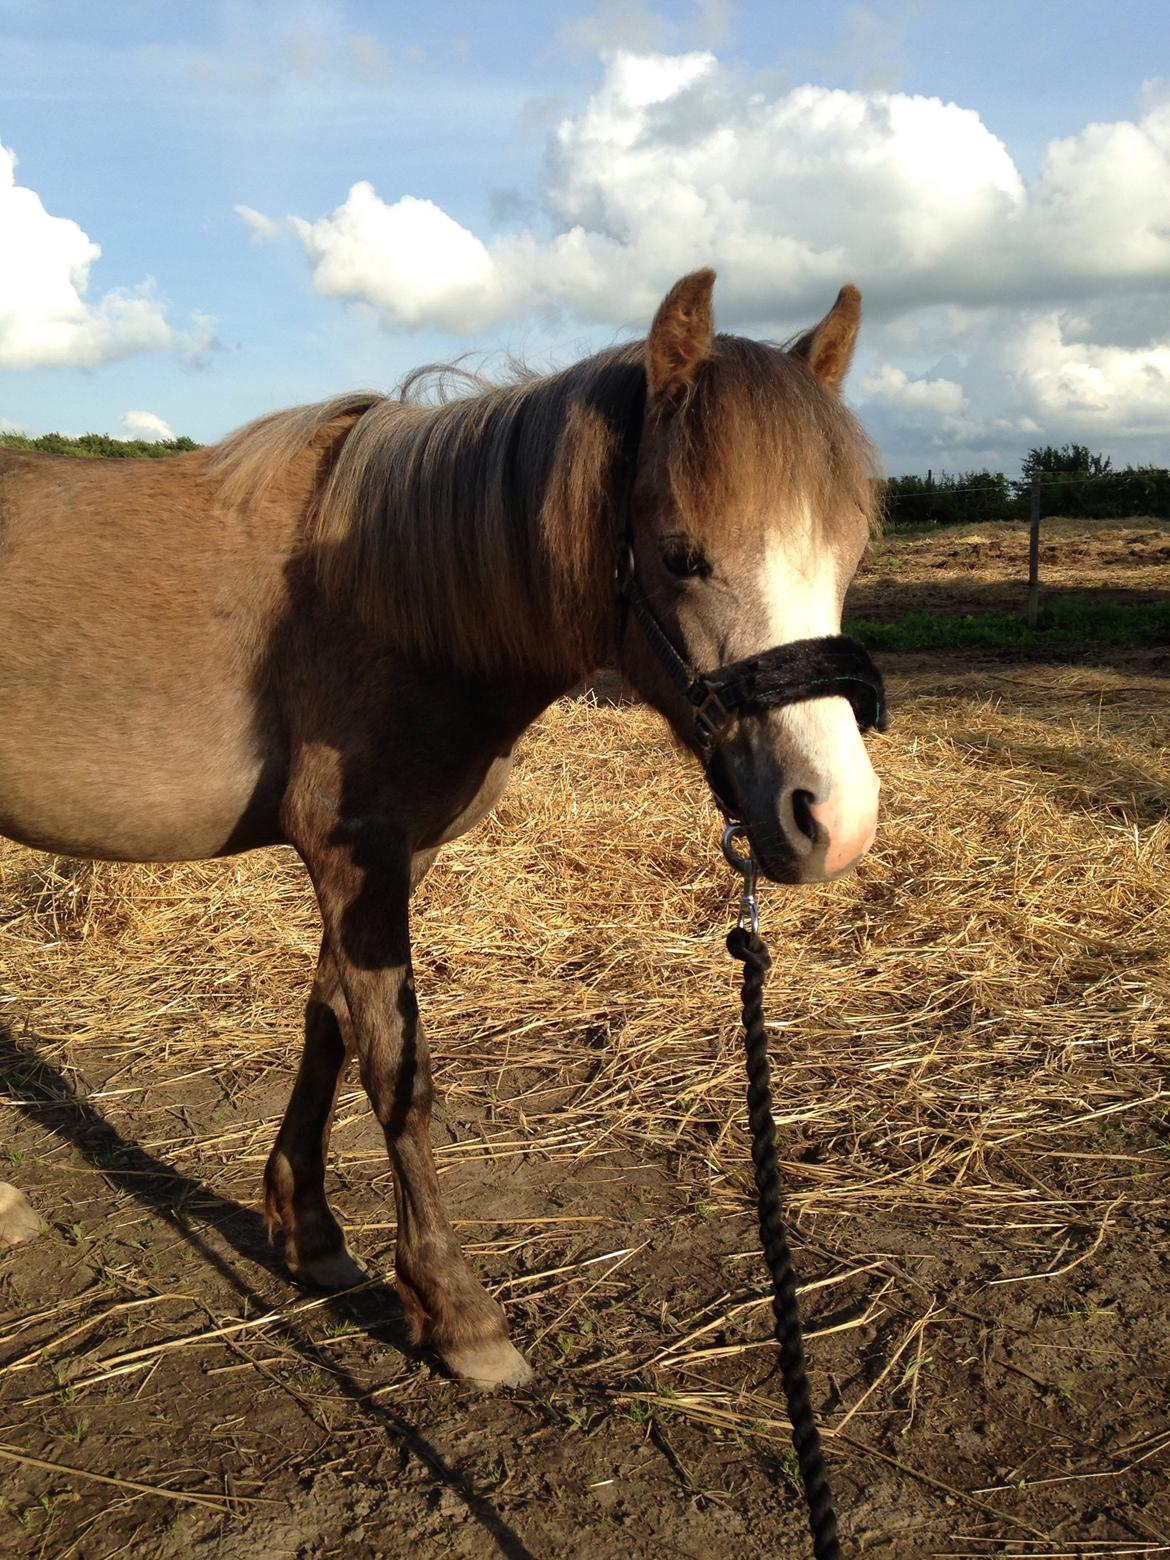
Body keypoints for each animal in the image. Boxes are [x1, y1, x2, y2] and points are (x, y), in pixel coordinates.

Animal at [0, 271, 879, 1391]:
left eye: (850, 550)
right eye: (682, 554)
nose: (835, 819)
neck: (389, 595)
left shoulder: (386, 862)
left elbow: (329, 1022)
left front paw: (309, 1229)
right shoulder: (354, 854)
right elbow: (397, 1070)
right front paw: (457, 1313)